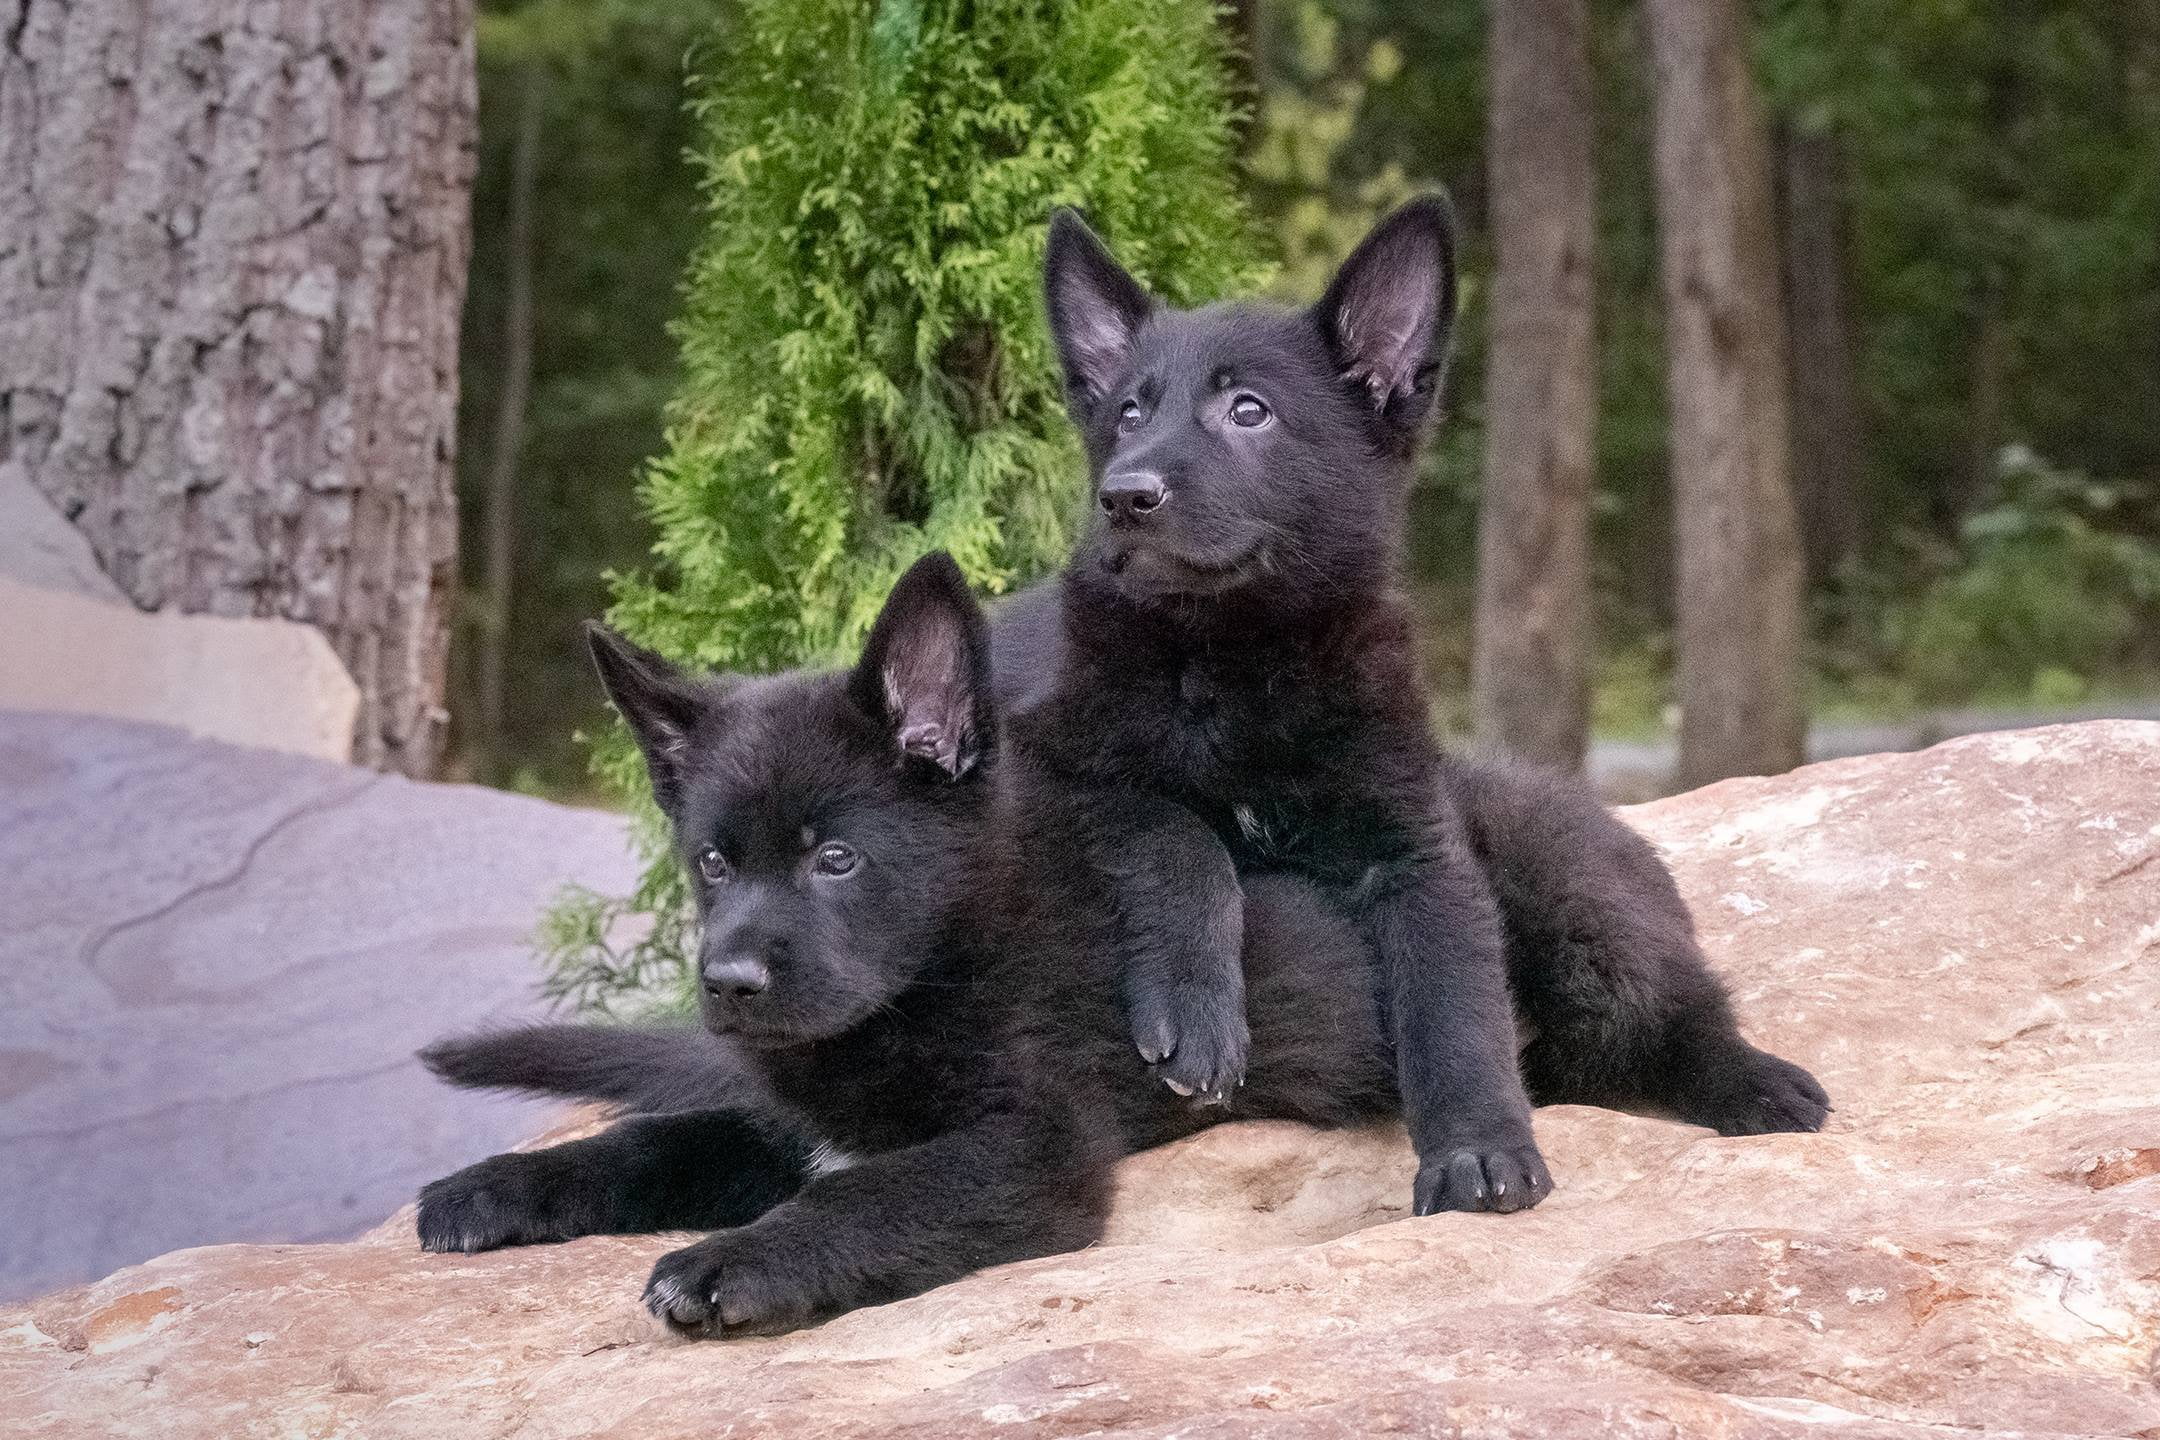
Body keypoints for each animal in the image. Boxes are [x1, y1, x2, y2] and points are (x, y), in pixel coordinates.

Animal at [419, 552, 1391, 1338]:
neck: (942, 968)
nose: (728, 983)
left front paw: (731, 1260)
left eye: (836, 858)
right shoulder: (796, 1120)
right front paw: (493, 1185)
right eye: (712, 863)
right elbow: (658, 1140)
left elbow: (868, 1191)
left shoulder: (1038, 1146)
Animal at [1002, 194, 1831, 1217]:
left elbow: (1456, 1008)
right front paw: (1198, 1007)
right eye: (1127, 413)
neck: (1242, 661)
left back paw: (1753, 1079)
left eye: (1248, 411)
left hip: (1570, 887)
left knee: (1666, 1010)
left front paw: (1477, 1147)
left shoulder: (1417, 851)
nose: (1124, 496)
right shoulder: (1039, 767)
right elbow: (1167, 823)